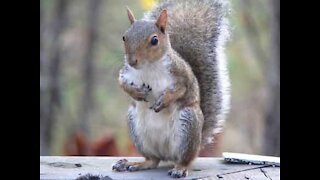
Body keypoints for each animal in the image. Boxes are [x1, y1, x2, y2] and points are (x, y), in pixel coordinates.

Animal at [112, 0, 230, 177]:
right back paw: (136, 163)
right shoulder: (127, 73)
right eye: (124, 37)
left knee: (185, 159)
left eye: (154, 40)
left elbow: (182, 89)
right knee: (152, 160)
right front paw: (137, 92)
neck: (149, 67)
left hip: (188, 125)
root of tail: (166, 154)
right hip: (137, 129)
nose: (132, 61)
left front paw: (164, 100)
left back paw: (180, 168)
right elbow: (123, 84)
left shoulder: (182, 74)